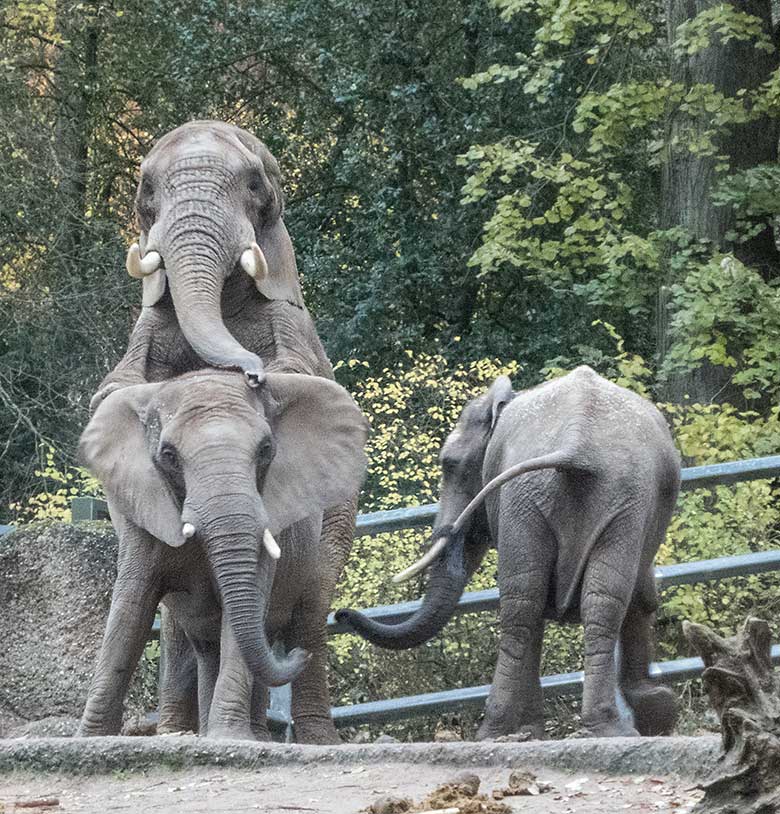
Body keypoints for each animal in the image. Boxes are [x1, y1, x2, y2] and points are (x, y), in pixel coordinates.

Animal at [77, 372, 368, 744]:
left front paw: (229, 738)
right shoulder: (143, 513)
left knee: (299, 617)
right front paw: (89, 739)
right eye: (169, 455)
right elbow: (130, 607)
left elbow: (247, 603)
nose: (296, 657)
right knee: (208, 644)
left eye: (266, 450)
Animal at [338, 366, 680, 744]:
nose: (340, 613)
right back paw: (592, 730)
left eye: (449, 464)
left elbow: (640, 593)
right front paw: (657, 710)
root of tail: (577, 443)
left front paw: (657, 709)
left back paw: (509, 731)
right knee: (550, 602)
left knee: (538, 602)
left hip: (589, 495)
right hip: (548, 494)